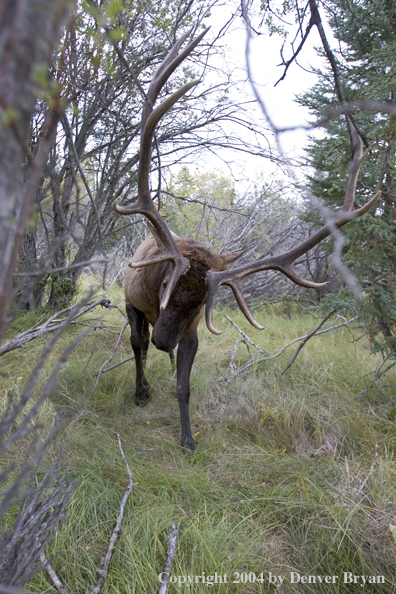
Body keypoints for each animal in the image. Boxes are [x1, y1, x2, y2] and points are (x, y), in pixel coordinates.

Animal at [113, 27, 378, 448]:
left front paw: (188, 437)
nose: (164, 341)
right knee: (137, 344)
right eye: (167, 283)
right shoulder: (133, 301)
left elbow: (184, 386)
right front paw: (141, 393)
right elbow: (136, 346)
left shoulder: (191, 331)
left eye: (200, 302)